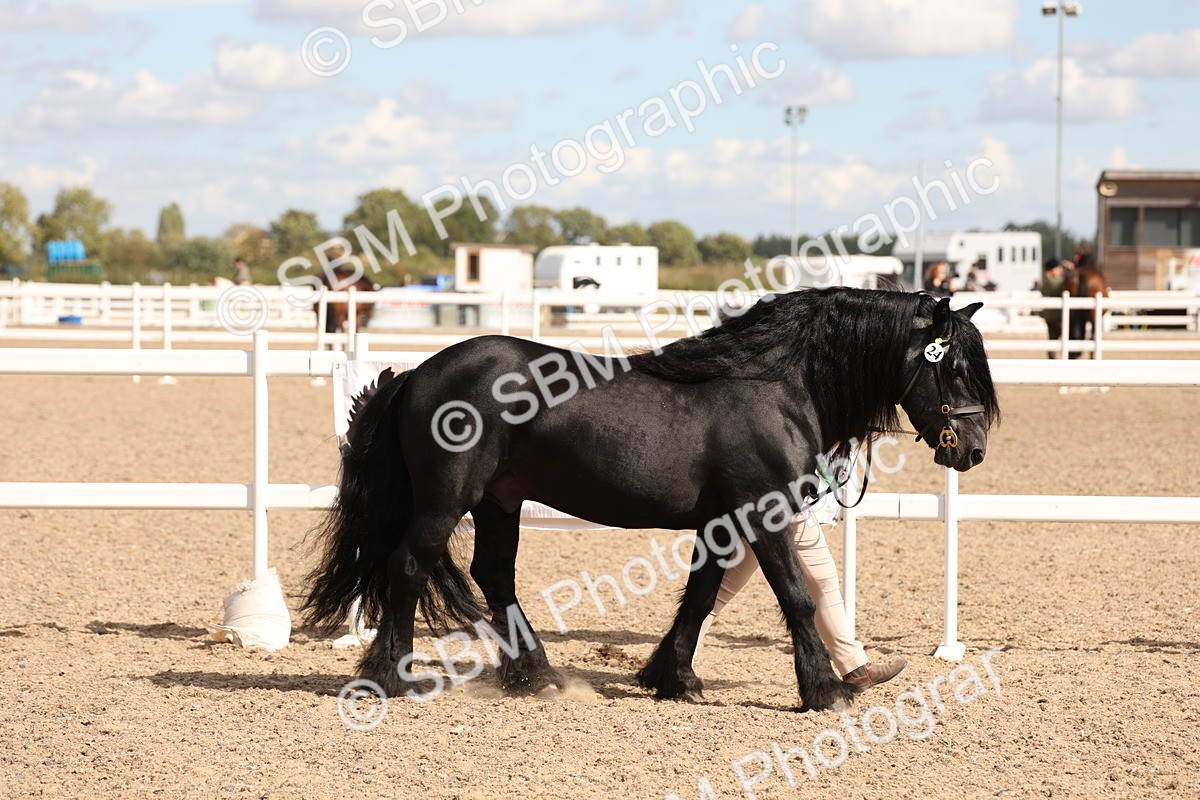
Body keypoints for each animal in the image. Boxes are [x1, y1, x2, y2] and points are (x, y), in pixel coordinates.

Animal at [302, 289, 1000, 712]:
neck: (774, 386)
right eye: (952, 365)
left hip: (499, 501)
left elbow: (700, 598)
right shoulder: (764, 514)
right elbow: (797, 595)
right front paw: (824, 689)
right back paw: (392, 677)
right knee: (407, 568)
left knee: (493, 575)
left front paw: (676, 679)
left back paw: (537, 676)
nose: (973, 449)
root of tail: (418, 374)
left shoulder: (724, 522)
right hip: (447, 501)